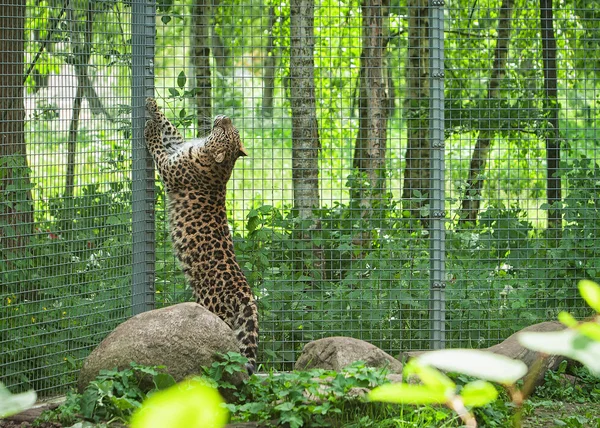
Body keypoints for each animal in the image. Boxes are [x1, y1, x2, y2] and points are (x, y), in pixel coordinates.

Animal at [146, 98, 260, 374]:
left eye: (226, 133)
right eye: (233, 132)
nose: (224, 117)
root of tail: (246, 295)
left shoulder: (168, 167)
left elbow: (157, 146)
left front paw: (149, 130)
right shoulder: (178, 144)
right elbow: (169, 126)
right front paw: (152, 105)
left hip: (216, 312)